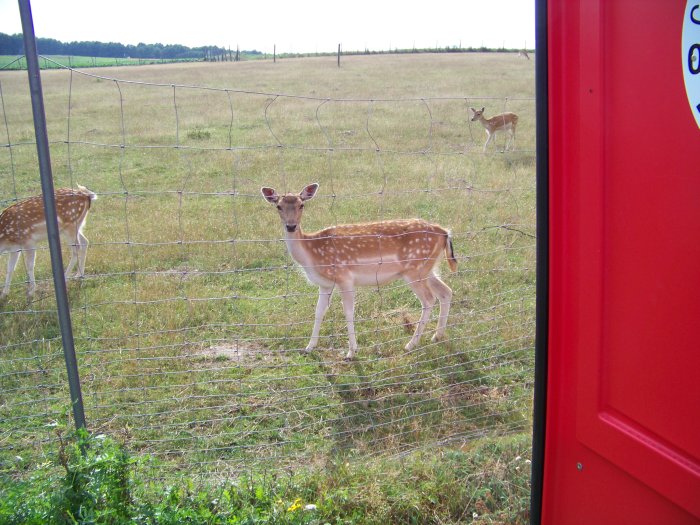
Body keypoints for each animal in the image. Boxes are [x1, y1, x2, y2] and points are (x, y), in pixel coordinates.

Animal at [262, 182, 460, 358]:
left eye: (301, 204)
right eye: (278, 206)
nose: (291, 226)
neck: (312, 254)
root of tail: (445, 232)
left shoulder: (345, 278)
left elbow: (348, 312)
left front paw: (351, 352)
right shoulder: (325, 284)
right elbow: (319, 312)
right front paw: (309, 347)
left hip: (415, 269)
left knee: (429, 299)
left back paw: (410, 344)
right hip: (427, 268)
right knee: (446, 291)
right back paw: (437, 336)